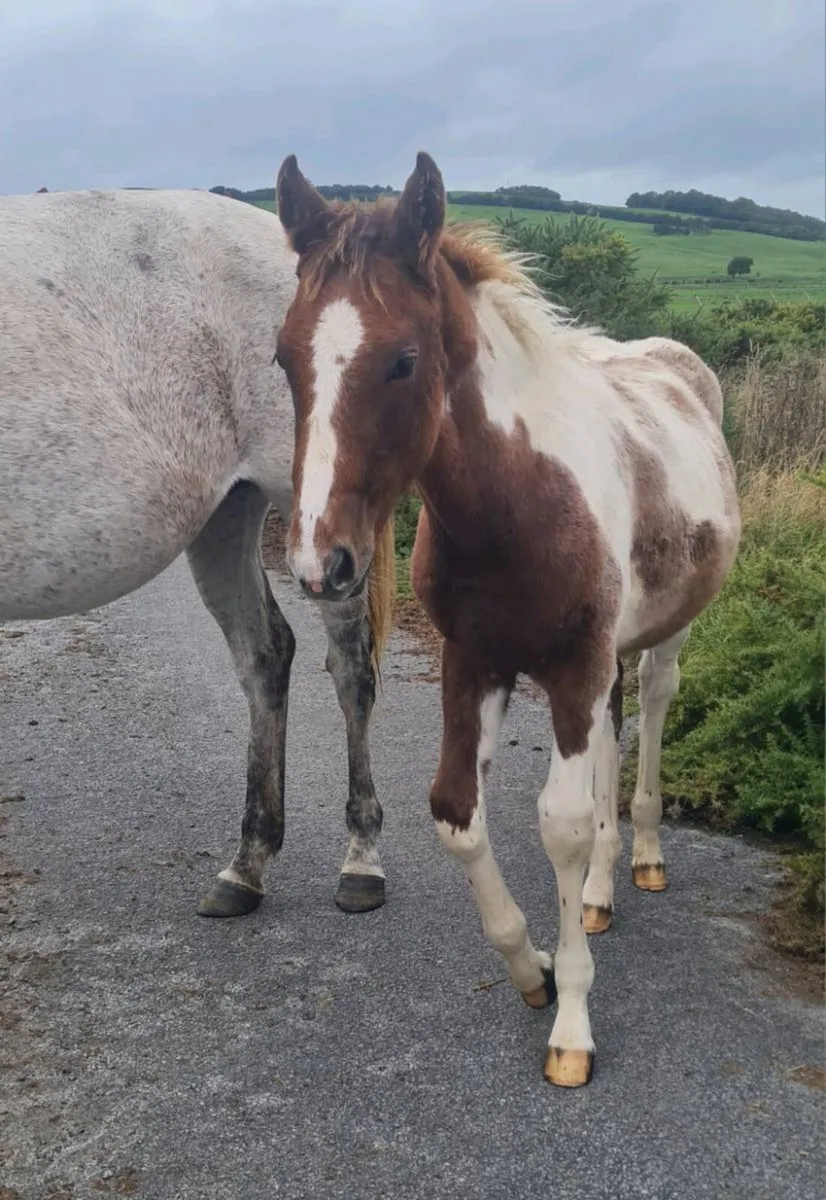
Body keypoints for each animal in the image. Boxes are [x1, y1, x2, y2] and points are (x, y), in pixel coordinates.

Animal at [271, 151, 741, 1087]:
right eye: (283, 358)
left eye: (404, 360)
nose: (318, 563)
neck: (516, 501)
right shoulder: (474, 659)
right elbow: (458, 812)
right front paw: (535, 969)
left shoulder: (573, 661)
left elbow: (560, 823)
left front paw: (571, 1027)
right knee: (611, 731)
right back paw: (597, 894)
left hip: (661, 633)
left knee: (652, 707)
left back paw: (640, 856)